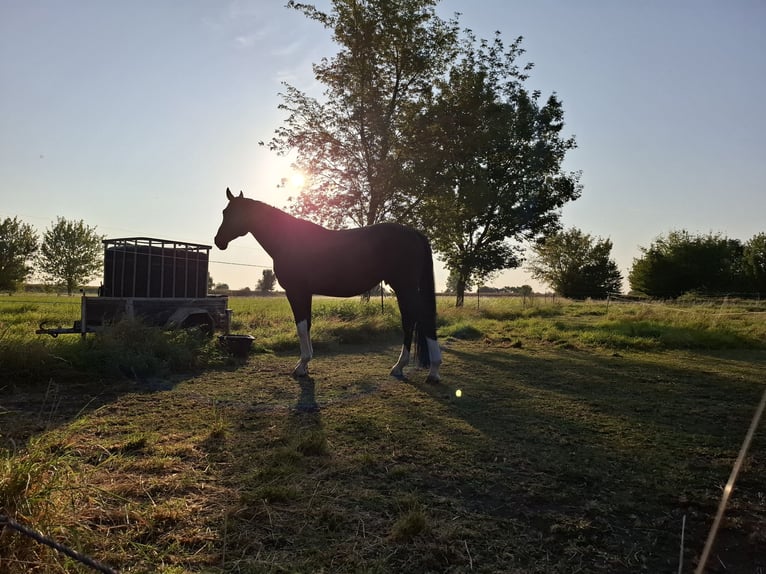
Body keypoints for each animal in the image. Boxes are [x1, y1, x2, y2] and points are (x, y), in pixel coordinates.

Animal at [214, 189, 444, 384]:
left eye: (230, 212)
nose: (218, 241)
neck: (288, 240)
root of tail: (414, 233)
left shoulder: (296, 292)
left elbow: (301, 327)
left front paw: (301, 366)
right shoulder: (305, 293)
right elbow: (307, 326)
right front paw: (305, 365)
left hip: (405, 286)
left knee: (419, 319)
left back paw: (424, 369)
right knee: (413, 320)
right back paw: (411, 368)